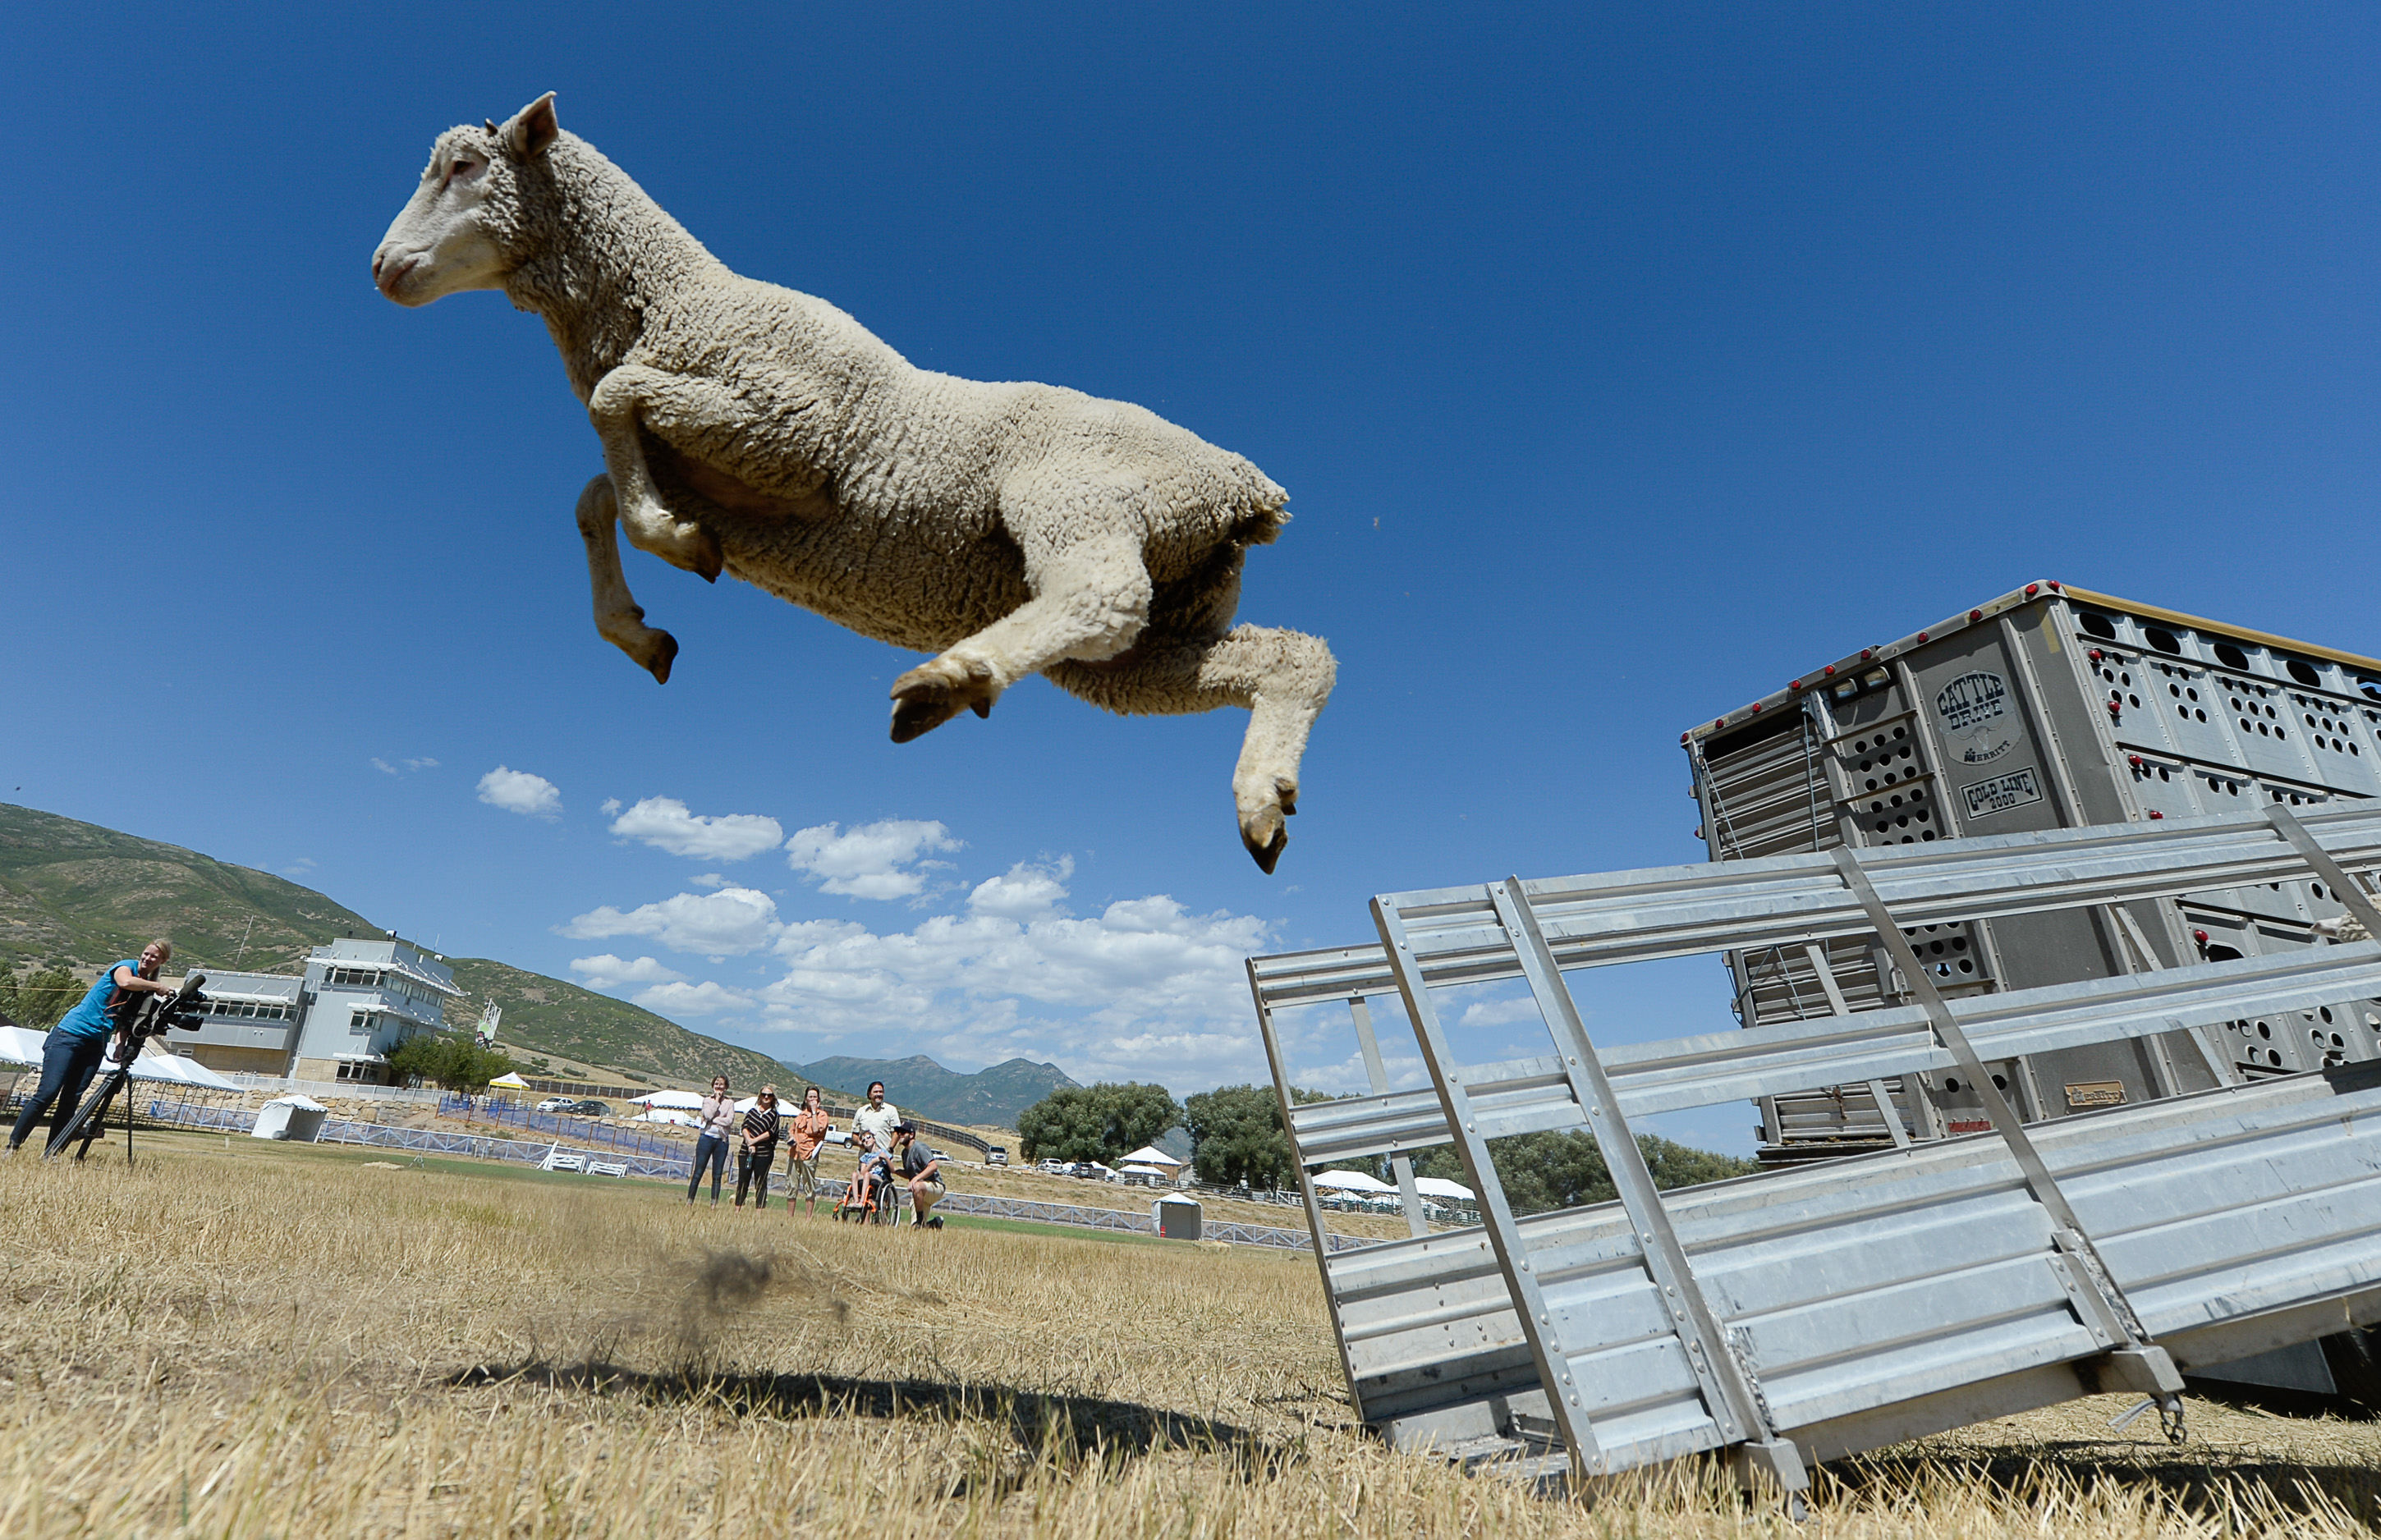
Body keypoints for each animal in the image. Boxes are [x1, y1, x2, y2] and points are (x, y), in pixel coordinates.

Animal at [372, 94, 1335, 872]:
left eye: (464, 167)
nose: (382, 268)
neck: (670, 301)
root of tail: (1247, 489)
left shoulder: (790, 427)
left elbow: (616, 403)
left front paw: (670, 547)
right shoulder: (715, 468)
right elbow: (594, 491)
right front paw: (644, 625)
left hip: (1077, 494)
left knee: (1101, 594)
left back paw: (948, 676)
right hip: (1161, 624)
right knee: (1285, 657)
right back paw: (1261, 802)